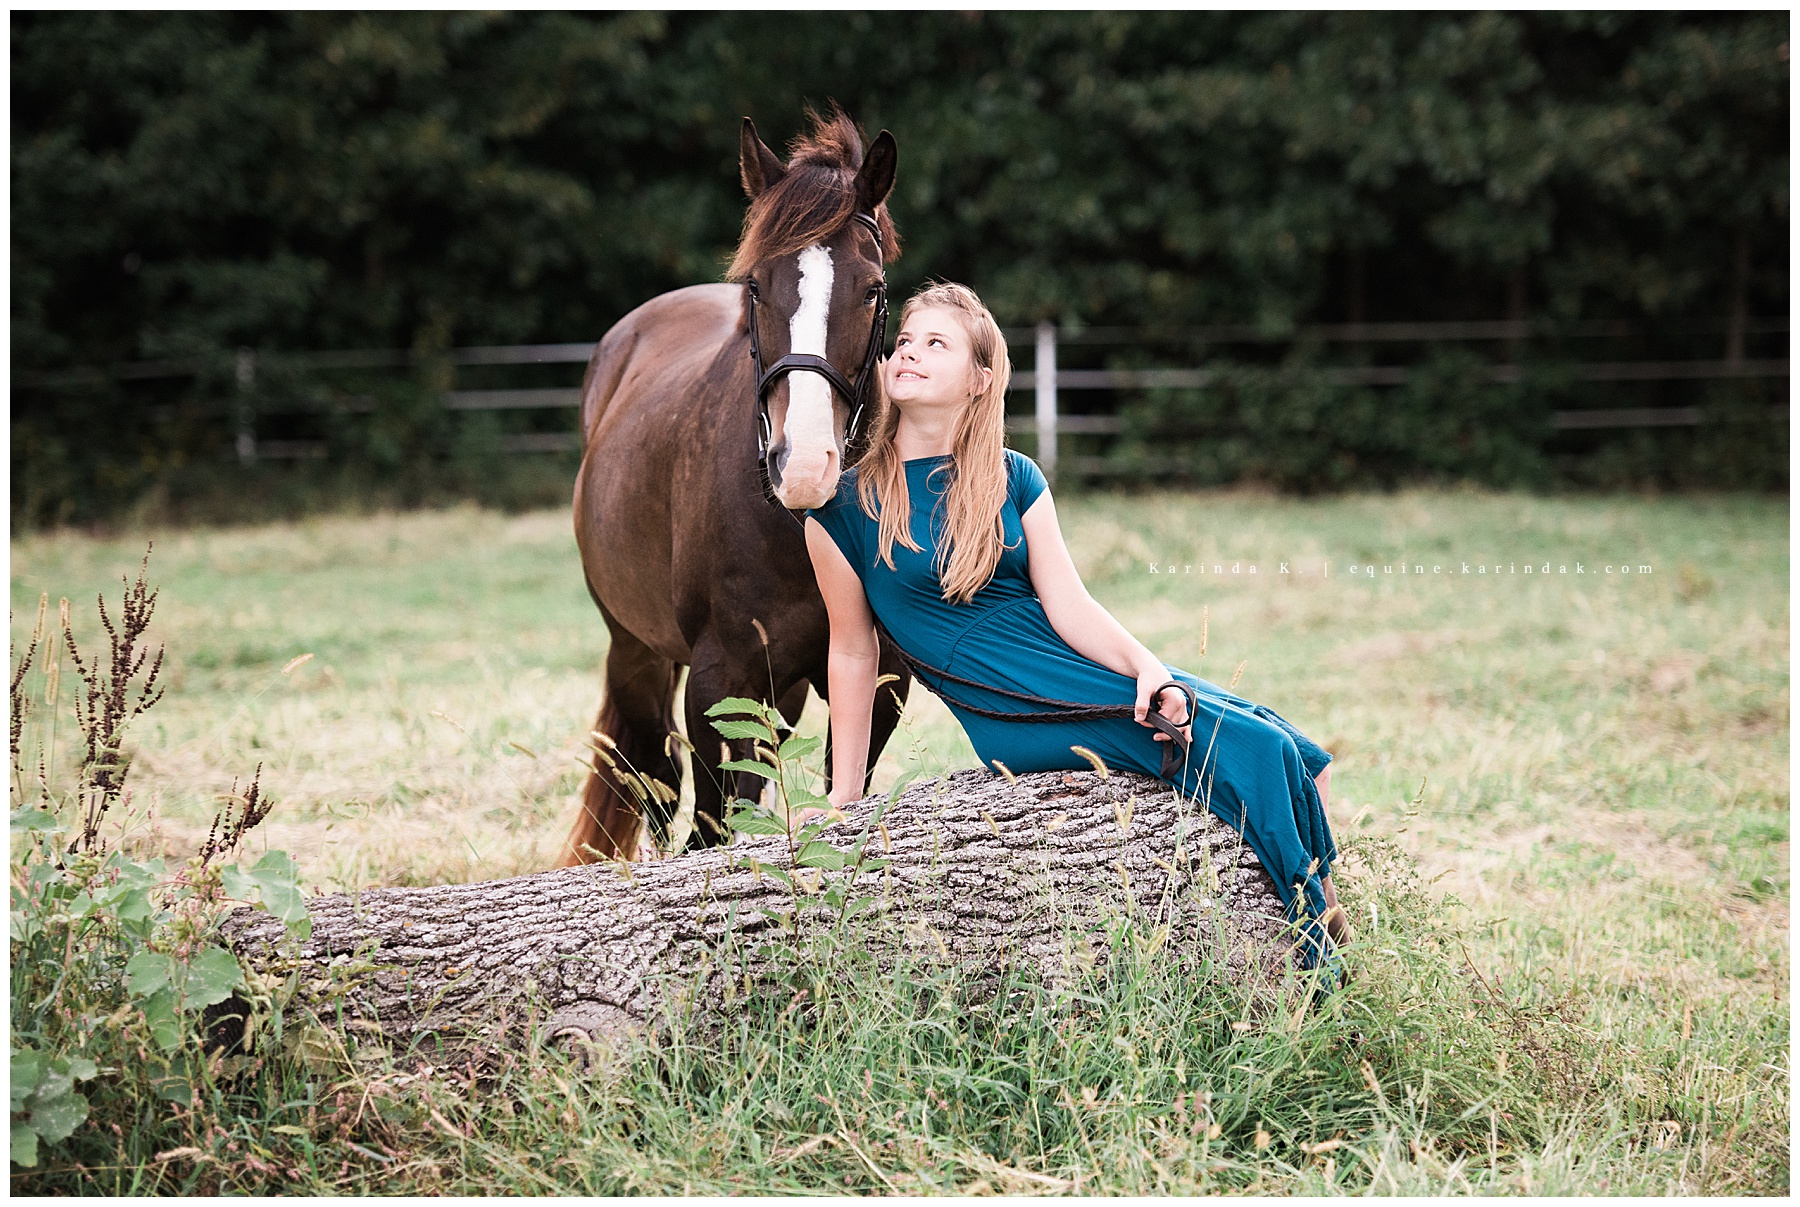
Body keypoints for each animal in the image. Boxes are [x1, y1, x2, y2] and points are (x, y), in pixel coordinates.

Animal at [561, 109, 914, 864]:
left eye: (873, 289)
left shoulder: (878, 684)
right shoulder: (717, 681)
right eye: (754, 285)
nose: (803, 465)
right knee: (656, 781)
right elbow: (712, 826)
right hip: (636, 652)